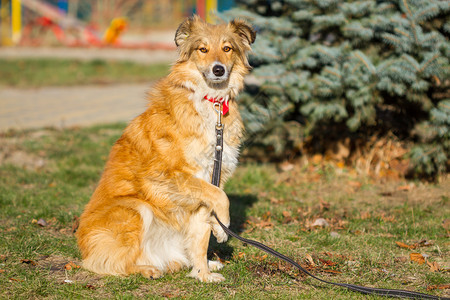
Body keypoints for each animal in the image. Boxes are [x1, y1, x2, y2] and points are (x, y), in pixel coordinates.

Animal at [75, 15, 255, 284]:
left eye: (227, 48)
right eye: (202, 49)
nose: (218, 69)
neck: (210, 103)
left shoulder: (209, 179)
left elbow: (203, 231)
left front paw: (203, 274)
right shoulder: (167, 175)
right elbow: (221, 197)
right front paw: (223, 226)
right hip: (135, 208)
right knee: (104, 262)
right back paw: (146, 269)